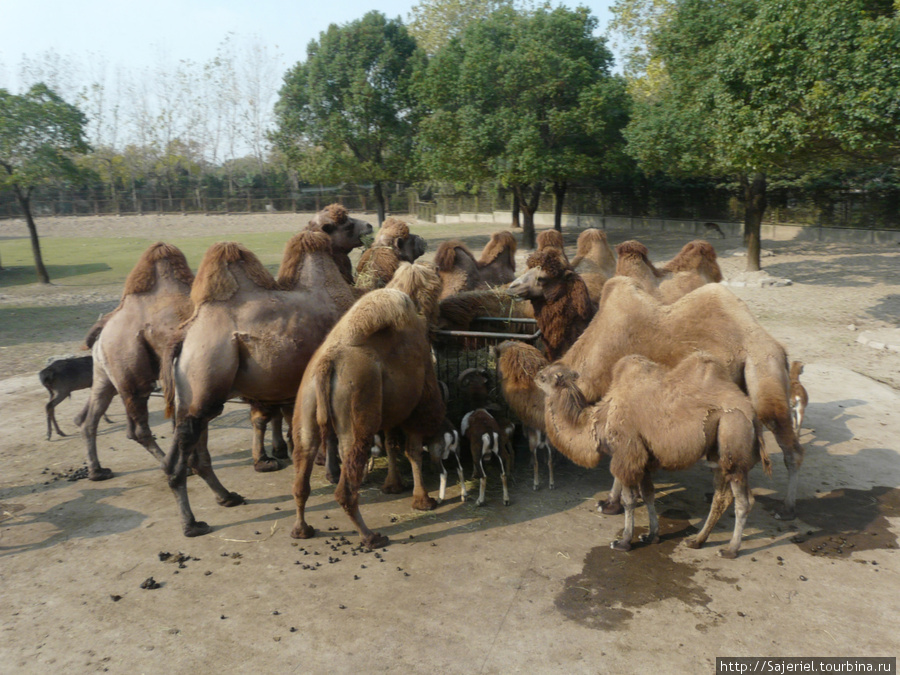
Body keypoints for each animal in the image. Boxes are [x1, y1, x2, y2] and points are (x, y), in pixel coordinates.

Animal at [78, 243, 197, 480]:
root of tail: (106, 324)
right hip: (130, 368)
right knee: (140, 428)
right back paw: (171, 466)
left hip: (106, 373)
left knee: (93, 417)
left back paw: (97, 471)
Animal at [163, 232, 360, 540]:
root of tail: (183, 336)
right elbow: (328, 432)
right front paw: (333, 472)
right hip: (205, 376)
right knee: (181, 455)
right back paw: (191, 524)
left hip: (194, 398)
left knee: (193, 445)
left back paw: (227, 497)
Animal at [292, 282, 446, 552]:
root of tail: (326, 364)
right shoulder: (418, 405)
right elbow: (413, 451)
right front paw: (423, 500)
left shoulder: (390, 410)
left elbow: (391, 444)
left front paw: (394, 486)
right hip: (357, 415)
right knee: (346, 487)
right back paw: (371, 537)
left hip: (306, 409)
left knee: (302, 477)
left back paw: (302, 530)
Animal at [536, 356, 768, 556]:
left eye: (543, 376)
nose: (534, 375)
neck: (599, 420)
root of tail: (752, 413)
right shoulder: (643, 459)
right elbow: (648, 495)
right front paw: (651, 535)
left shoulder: (626, 454)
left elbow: (629, 500)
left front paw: (623, 541)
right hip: (717, 451)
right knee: (721, 496)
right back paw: (696, 540)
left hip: (734, 434)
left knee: (743, 500)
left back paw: (730, 550)